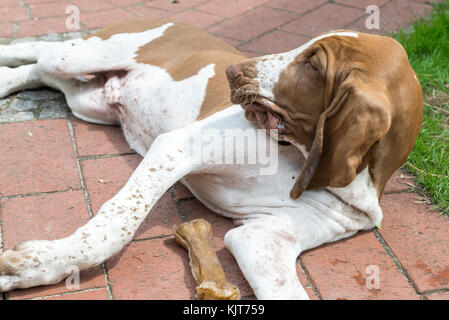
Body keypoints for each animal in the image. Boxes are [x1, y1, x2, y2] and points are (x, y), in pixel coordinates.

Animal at [0, 18, 420, 300]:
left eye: (314, 65)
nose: (233, 72)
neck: (299, 159)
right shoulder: (178, 147)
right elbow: (114, 227)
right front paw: (34, 266)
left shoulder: (260, 239)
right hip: (78, 56)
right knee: (37, 53)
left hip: (85, 100)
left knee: (37, 72)